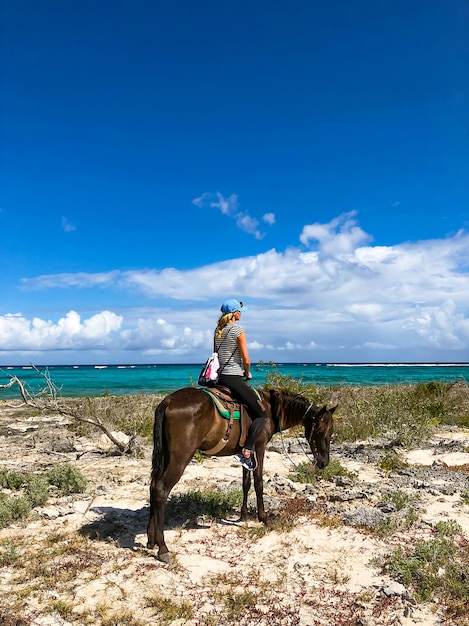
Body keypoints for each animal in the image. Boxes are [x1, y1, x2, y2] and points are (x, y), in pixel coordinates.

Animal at [148, 386, 334, 560]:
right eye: (320, 430)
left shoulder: (245, 452)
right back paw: (162, 547)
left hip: (166, 456)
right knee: (161, 489)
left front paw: (244, 515)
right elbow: (258, 483)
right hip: (180, 457)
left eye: (331, 432)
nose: (324, 462)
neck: (271, 408)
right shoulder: (259, 447)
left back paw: (151, 540)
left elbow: (246, 483)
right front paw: (263, 518)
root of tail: (168, 401)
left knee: (153, 486)